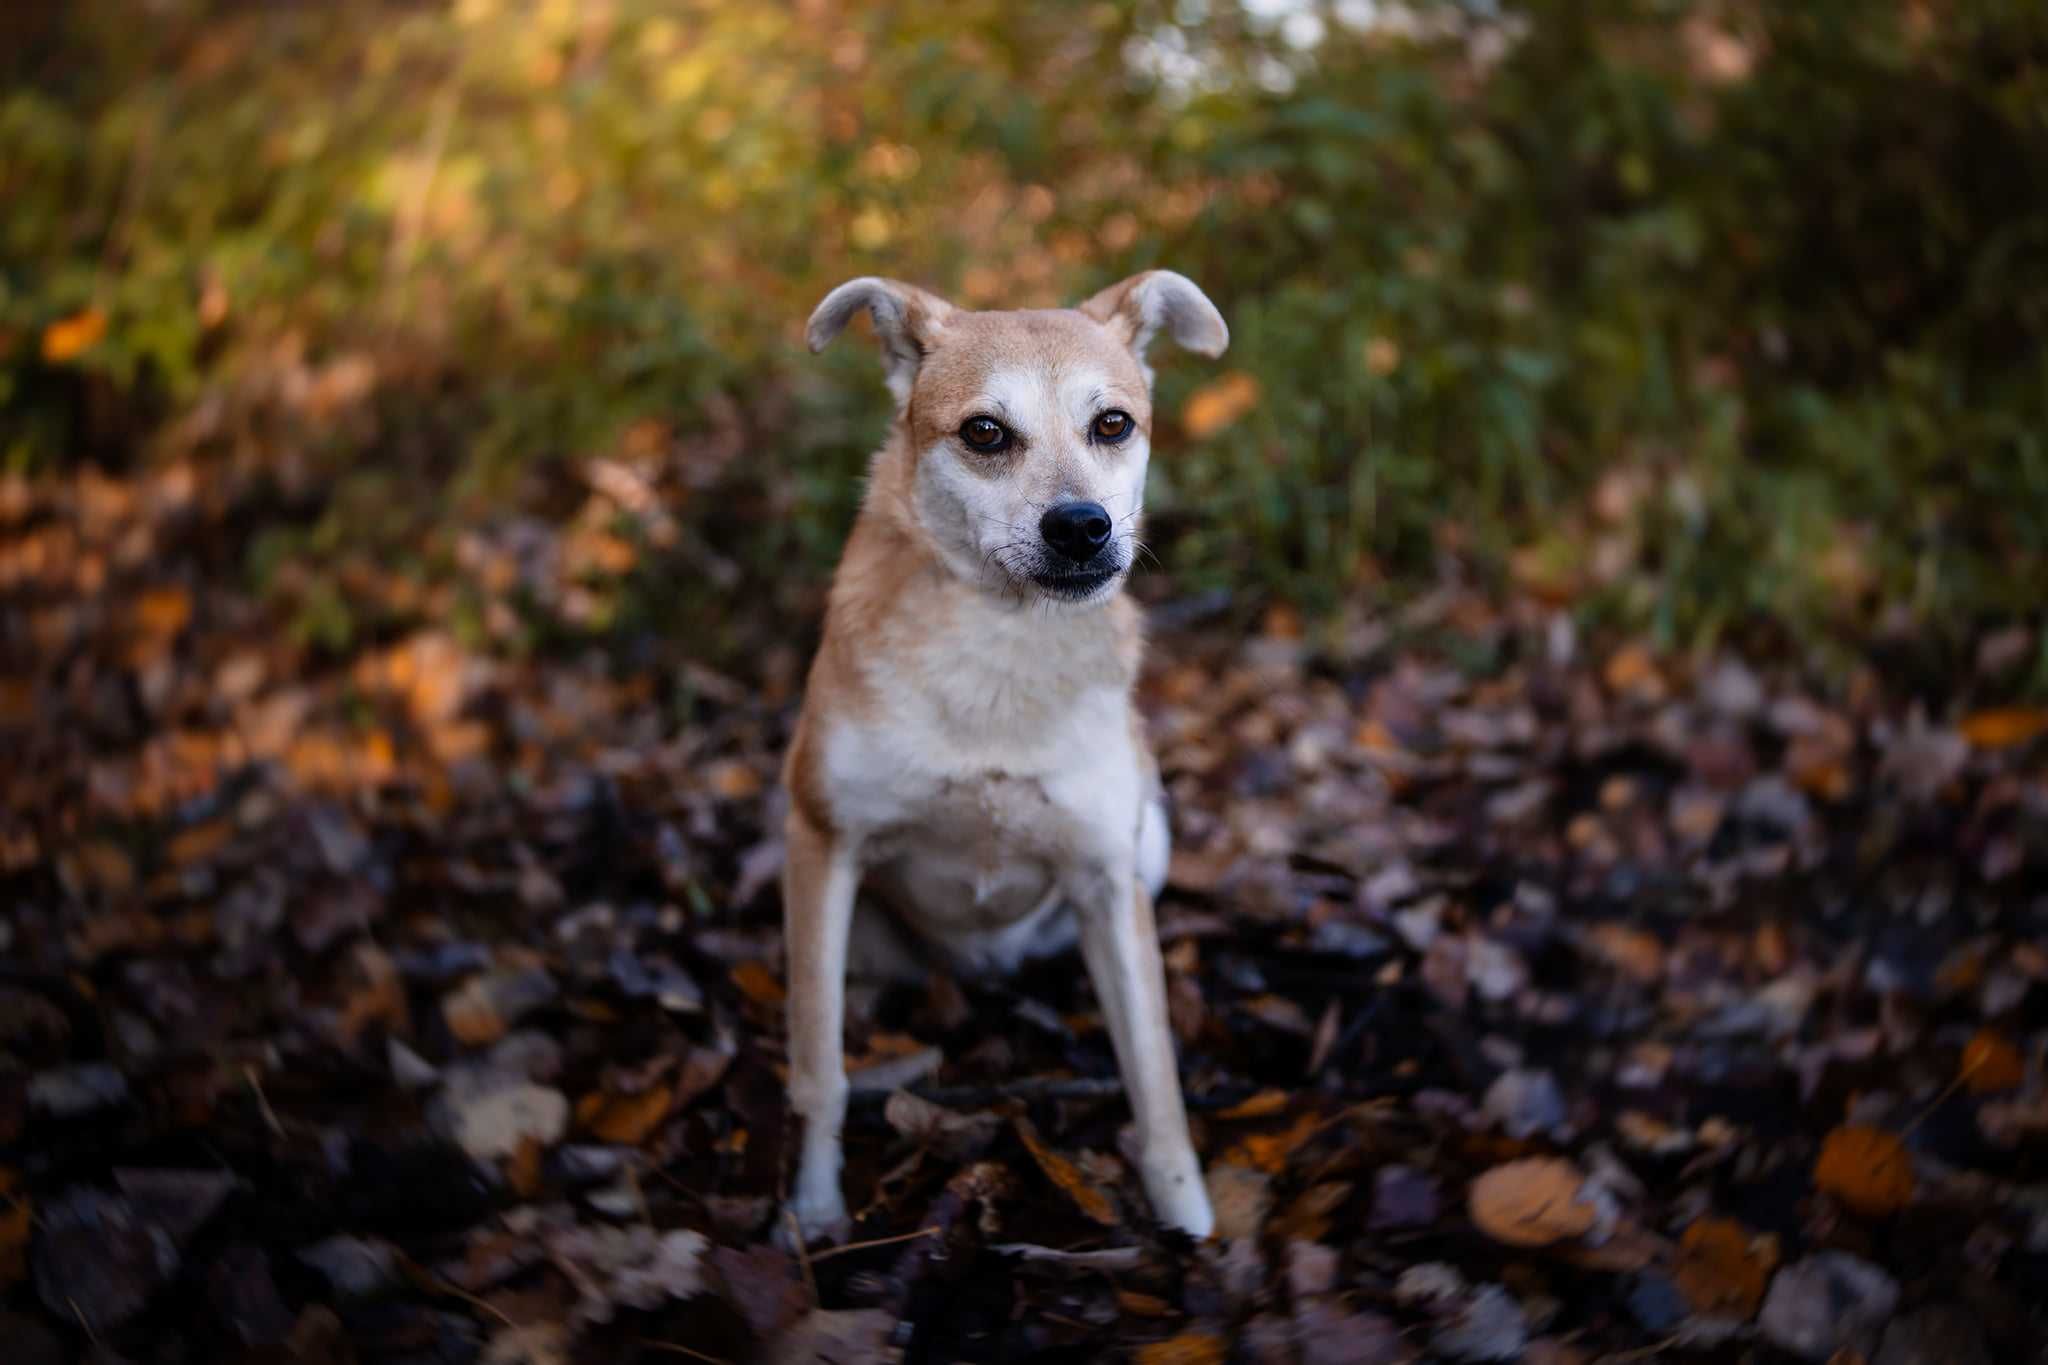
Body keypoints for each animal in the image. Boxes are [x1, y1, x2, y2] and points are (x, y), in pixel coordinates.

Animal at [778, 272, 1228, 1244]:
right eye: (985, 431)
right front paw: (814, 1209)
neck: (1003, 646)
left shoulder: (1109, 875)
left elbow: (1157, 1083)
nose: (1082, 527)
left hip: (1152, 840)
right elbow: (817, 1065)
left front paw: (1192, 1229)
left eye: (1113, 423)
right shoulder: (824, 839)